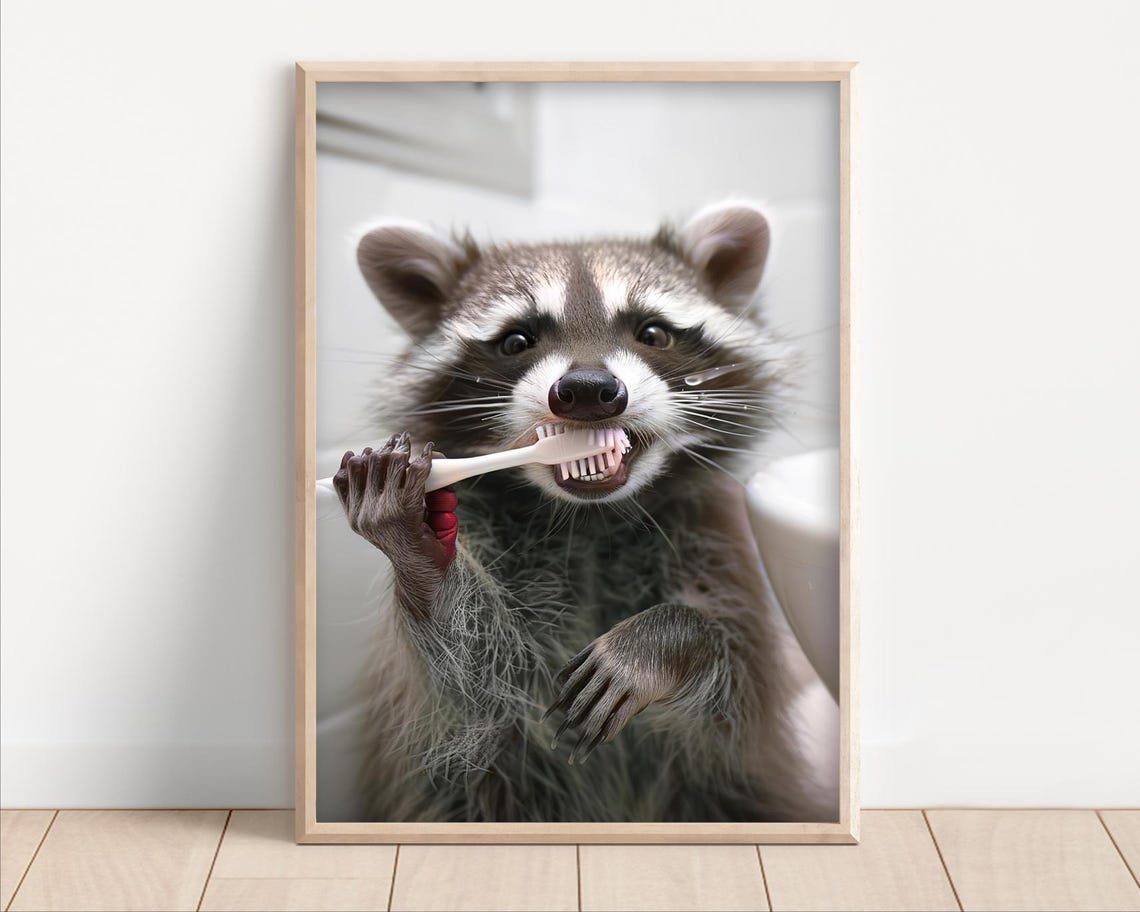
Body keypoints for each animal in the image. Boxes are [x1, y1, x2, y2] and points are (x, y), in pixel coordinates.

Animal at [333, 201, 830, 823]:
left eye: (652, 332)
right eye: (516, 340)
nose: (589, 389)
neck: (590, 519)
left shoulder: (717, 546)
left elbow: (733, 695)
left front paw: (667, 640)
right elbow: (473, 688)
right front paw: (421, 558)